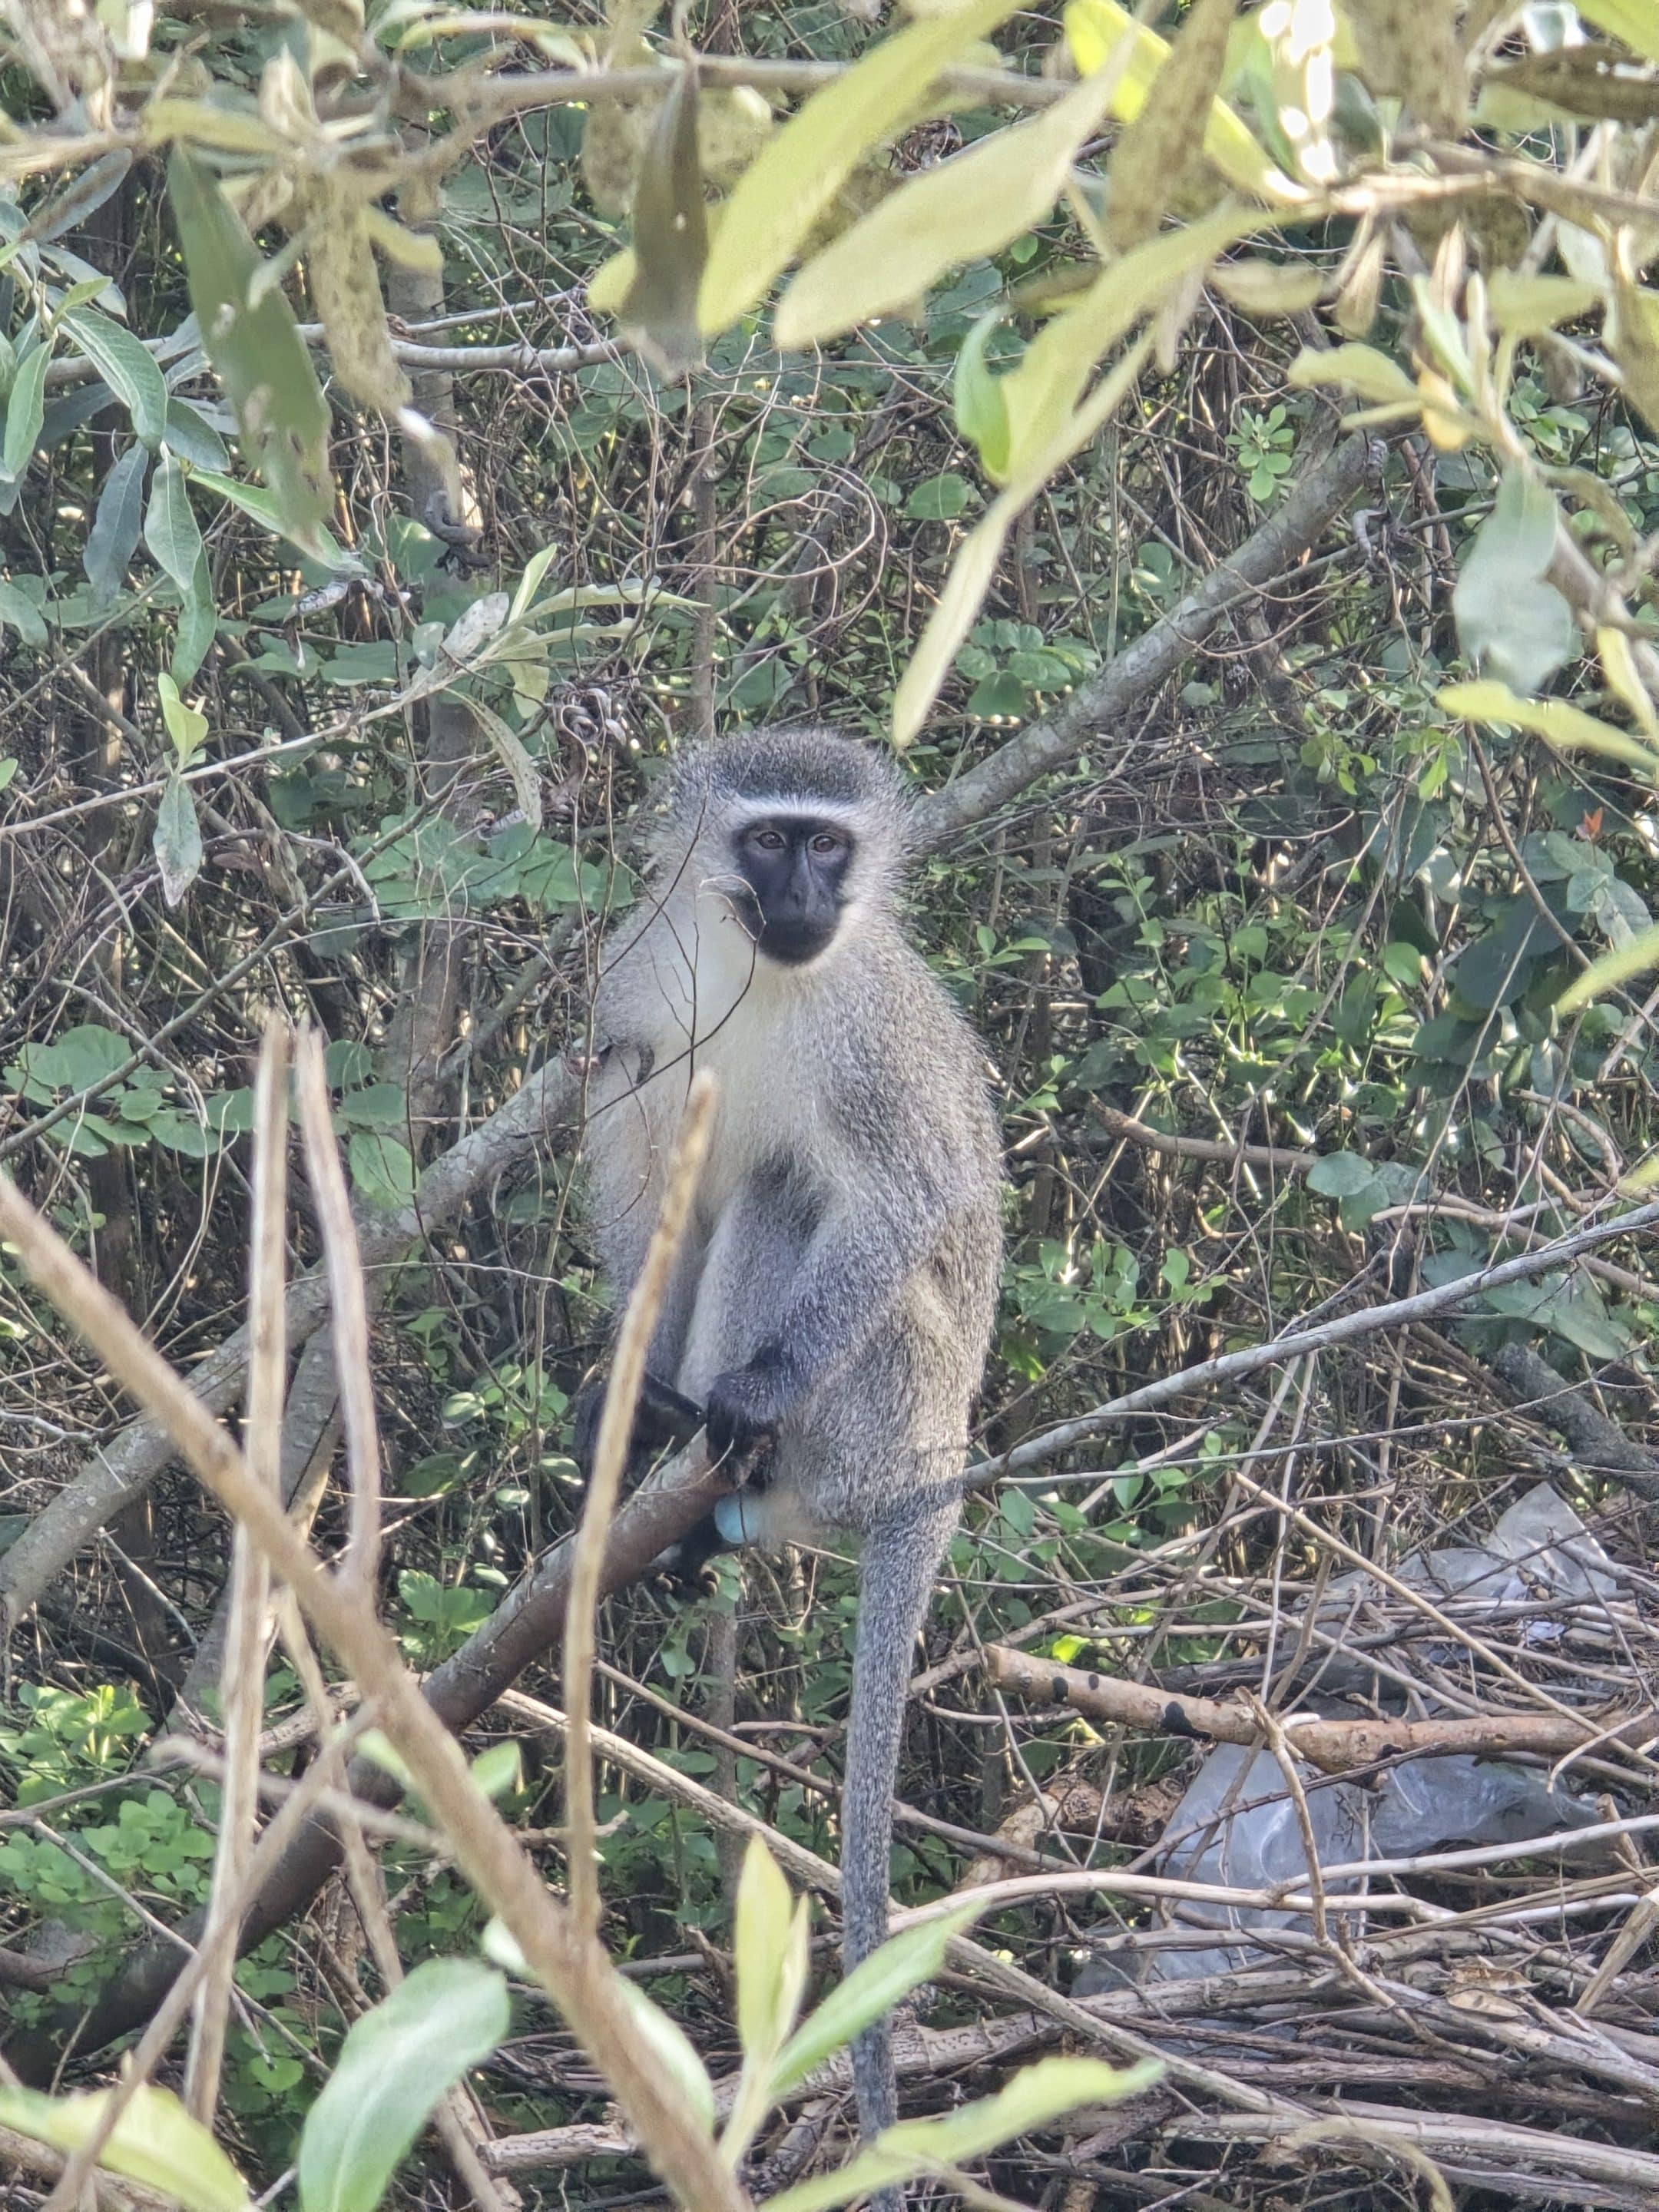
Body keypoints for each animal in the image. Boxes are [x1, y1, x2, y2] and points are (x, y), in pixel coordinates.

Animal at [576, 727, 1002, 2181]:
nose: (809, 895)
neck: (765, 977)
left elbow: (903, 1197)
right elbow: (652, 1180)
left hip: (888, 1396)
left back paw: (753, 1455)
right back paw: (676, 1461)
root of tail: (939, 1463)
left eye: (830, 843)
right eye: (768, 840)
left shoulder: (867, 1041)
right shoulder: (646, 985)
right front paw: (635, 1392)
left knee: (787, 1188)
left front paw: (750, 1388)